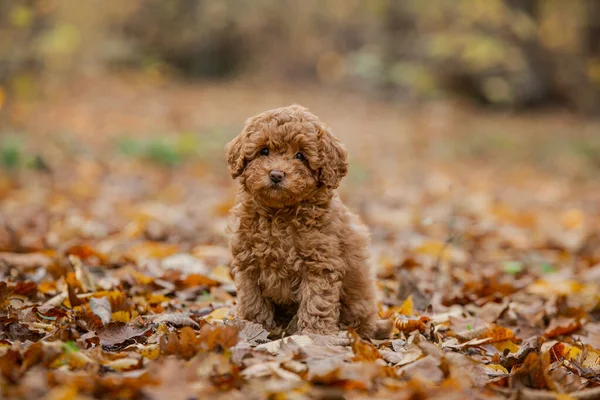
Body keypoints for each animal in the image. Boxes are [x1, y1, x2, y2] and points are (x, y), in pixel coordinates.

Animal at [227, 104, 382, 338]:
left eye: (300, 155)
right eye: (264, 151)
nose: (276, 174)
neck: (279, 214)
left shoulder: (320, 263)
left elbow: (316, 301)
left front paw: (314, 334)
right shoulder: (248, 261)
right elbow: (252, 300)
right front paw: (253, 326)